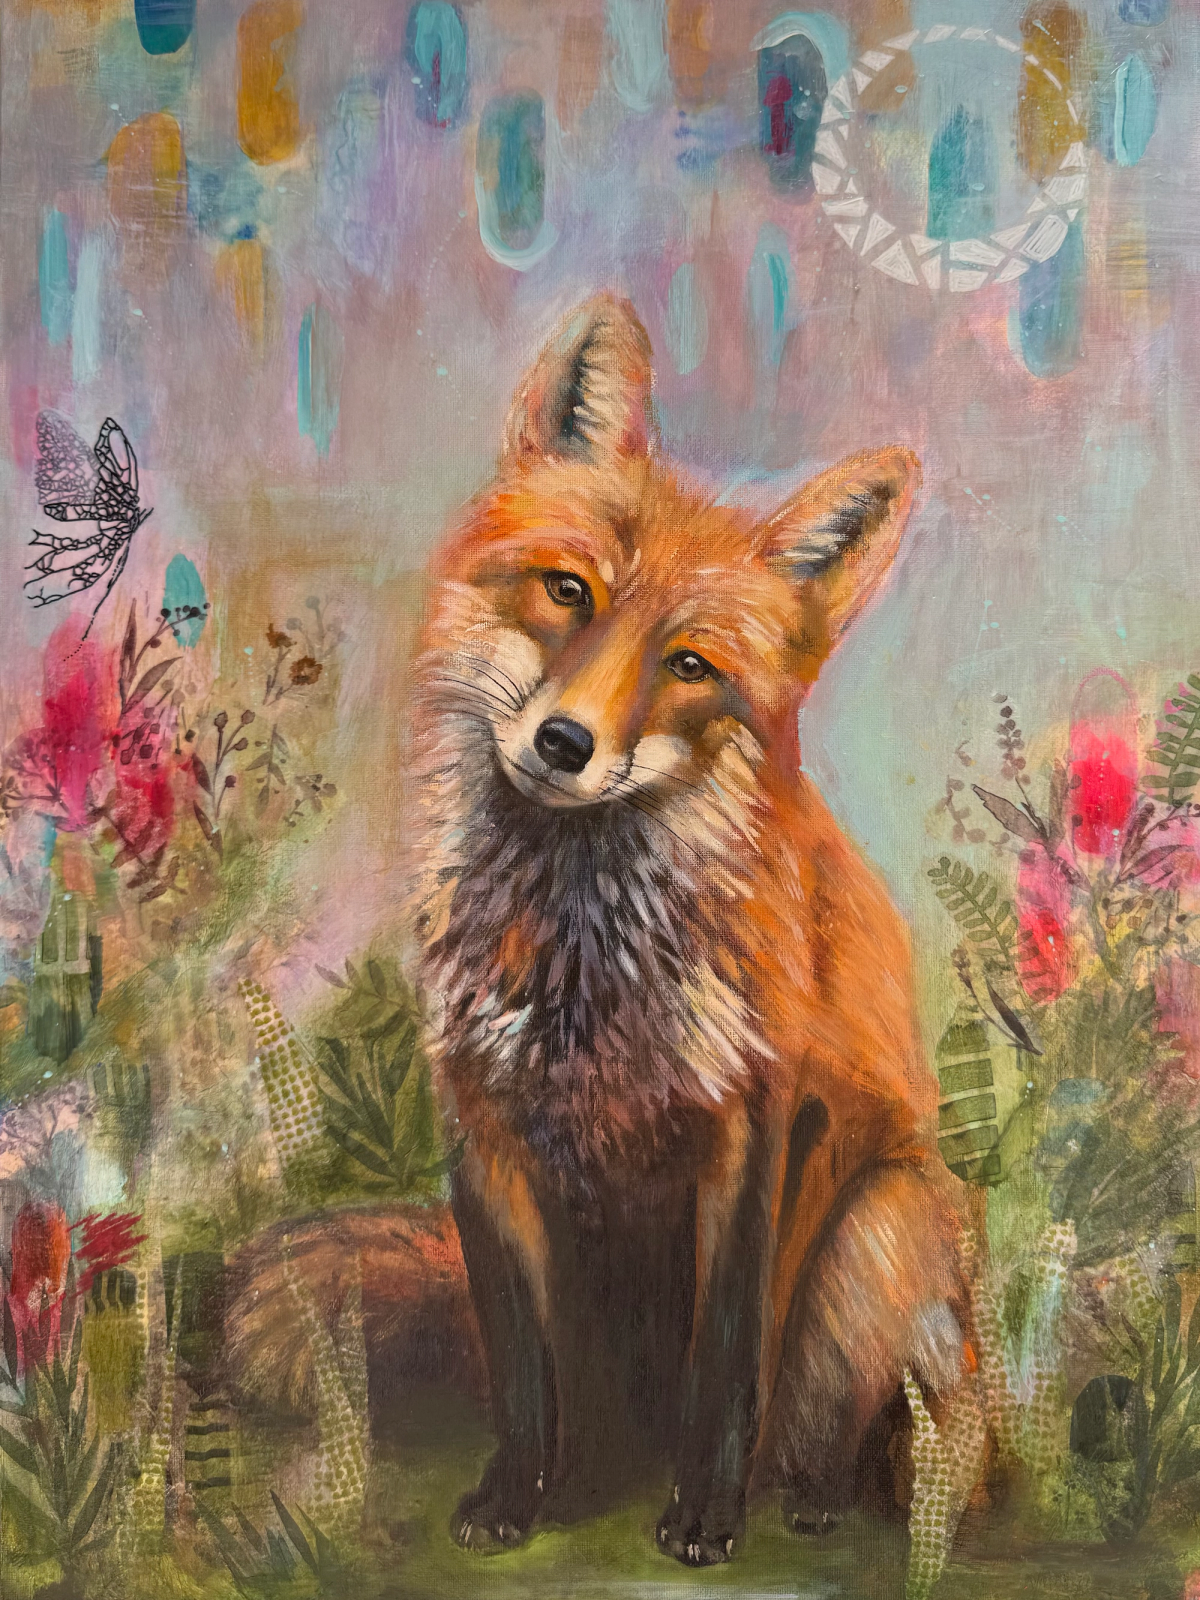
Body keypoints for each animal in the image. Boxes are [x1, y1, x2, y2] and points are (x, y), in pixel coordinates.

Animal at [399, 292, 971, 1565]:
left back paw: (809, 1496)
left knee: (851, 1433)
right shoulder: (479, 1121)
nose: (564, 742)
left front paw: (706, 1513)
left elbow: (727, 1355)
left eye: (692, 664)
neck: (580, 973)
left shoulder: (753, 1120)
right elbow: (523, 1367)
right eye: (569, 592)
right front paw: (519, 1495)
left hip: (878, 1227)